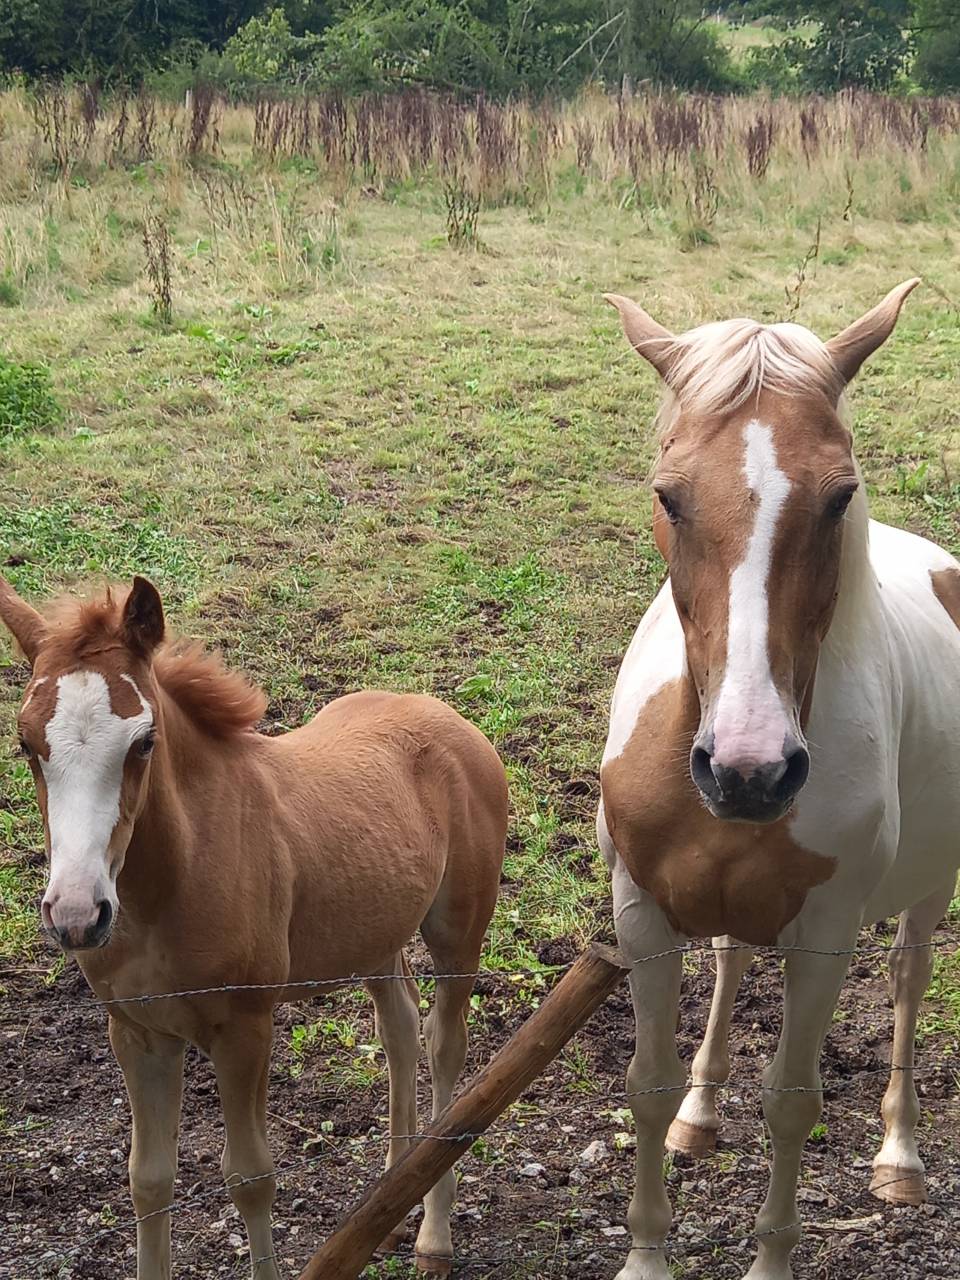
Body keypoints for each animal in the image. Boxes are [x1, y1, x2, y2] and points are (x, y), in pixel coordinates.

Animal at [0, 573, 508, 1279]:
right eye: (26, 743)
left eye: (144, 741)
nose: (77, 914)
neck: (170, 887)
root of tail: (455, 722)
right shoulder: (137, 1033)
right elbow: (148, 1180)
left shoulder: (245, 1028)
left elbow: (250, 1177)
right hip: (376, 933)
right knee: (400, 1026)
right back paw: (392, 1193)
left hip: (459, 931)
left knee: (444, 1042)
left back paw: (433, 1231)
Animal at [596, 279, 960, 1280]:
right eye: (669, 495)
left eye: (840, 498)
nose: (751, 770)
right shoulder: (640, 910)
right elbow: (645, 1085)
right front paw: (647, 1252)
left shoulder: (826, 935)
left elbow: (792, 1102)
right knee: (729, 961)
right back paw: (701, 1116)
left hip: (932, 886)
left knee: (911, 978)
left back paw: (900, 1159)